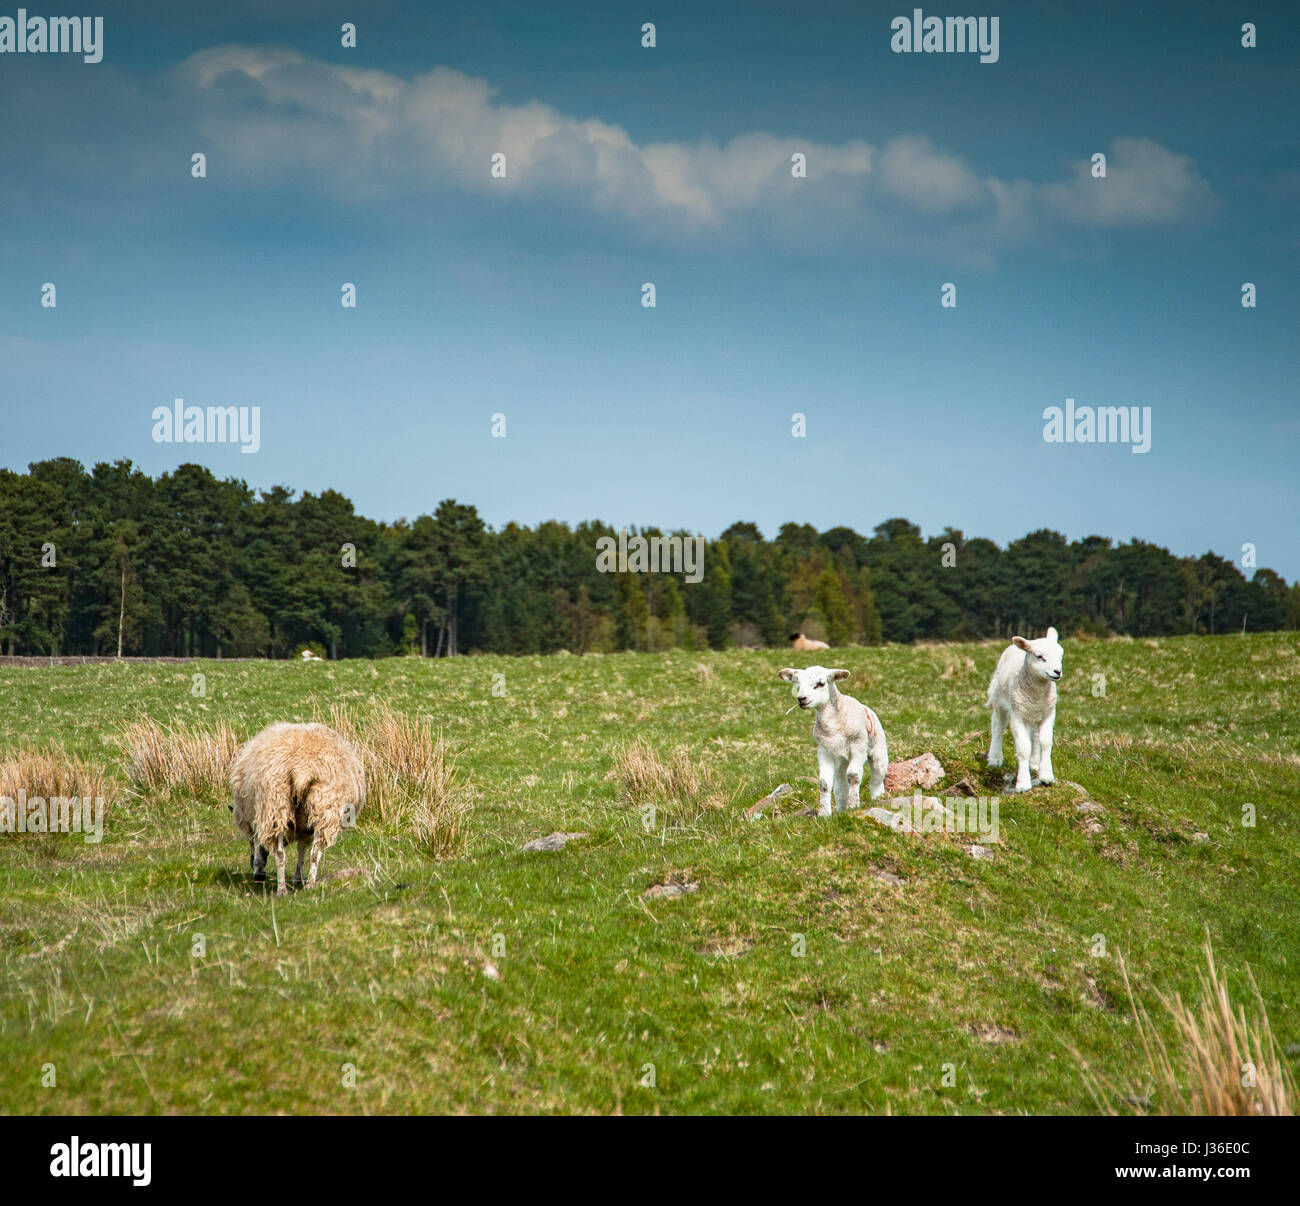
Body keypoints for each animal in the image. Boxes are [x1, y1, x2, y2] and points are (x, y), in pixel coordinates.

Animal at [230, 722, 365, 895]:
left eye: (251, 843)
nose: (258, 877)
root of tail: (302, 770)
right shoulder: (304, 826)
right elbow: (302, 849)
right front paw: (298, 878)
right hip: (325, 806)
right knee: (315, 852)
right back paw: (310, 885)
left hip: (275, 804)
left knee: (280, 854)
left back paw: (282, 890)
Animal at [778, 665, 889, 816]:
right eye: (798, 684)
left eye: (820, 684)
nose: (801, 699)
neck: (833, 726)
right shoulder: (824, 751)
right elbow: (824, 783)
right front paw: (824, 812)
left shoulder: (858, 745)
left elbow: (854, 775)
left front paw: (853, 805)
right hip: (842, 761)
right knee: (840, 783)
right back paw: (842, 808)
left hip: (878, 749)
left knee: (877, 776)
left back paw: (877, 797)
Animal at [986, 627, 1064, 792]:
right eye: (1040, 657)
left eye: (1060, 655)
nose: (1057, 672)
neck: (1037, 693)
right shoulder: (1018, 716)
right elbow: (1023, 748)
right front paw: (1023, 783)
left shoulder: (1048, 713)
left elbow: (1046, 742)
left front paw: (1046, 775)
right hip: (999, 699)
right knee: (998, 727)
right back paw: (995, 758)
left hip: (1033, 714)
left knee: (1034, 736)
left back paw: (1034, 762)